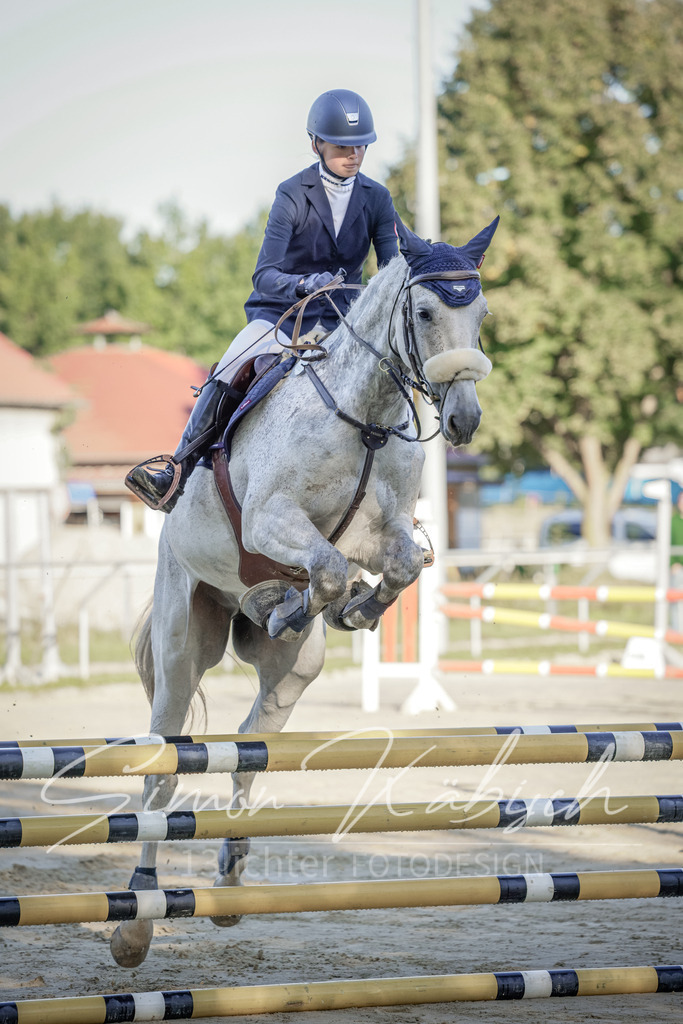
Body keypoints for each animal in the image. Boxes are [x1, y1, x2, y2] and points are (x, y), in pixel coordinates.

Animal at [110, 216, 499, 967]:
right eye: (425, 312)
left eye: (482, 313)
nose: (465, 419)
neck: (364, 415)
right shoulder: (271, 520)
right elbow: (325, 565)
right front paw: (309, 600)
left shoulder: (384, 532)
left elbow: (396, 567)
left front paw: (351, 608)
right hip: (181, 645)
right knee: (163, 768)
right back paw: (134, 924)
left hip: (292, 675)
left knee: (248, 748)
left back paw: (231, 883)